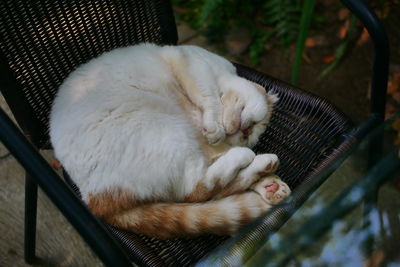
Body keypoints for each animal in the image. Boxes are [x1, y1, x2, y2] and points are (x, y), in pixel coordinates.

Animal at [50, 43, 290, 239]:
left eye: (249, 135)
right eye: (254, 126)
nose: (245, 131)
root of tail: (94, 201)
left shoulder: (206, 145)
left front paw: (270, 184)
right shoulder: (194, 66)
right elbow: (210, 99)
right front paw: (215, 125)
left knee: (206, 189)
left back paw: (266, 173)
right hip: (168, 132)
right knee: (198, 190)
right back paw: (250, 158)